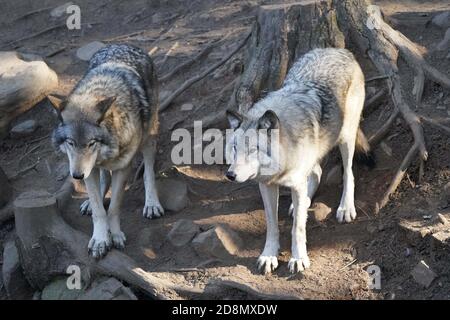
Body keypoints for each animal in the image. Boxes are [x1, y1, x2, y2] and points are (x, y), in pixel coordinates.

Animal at [48, 43, 163, 258]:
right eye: (70, 143)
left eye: (92, 143)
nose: (76, 176)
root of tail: (122, 44)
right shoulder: (89, 168)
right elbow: (99, 209)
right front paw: (101, 239)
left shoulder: (123, 167)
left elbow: (114, 207)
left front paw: (115, 234)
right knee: (103, 179)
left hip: (149, 136)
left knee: (148, 172)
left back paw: (152, 203)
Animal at [225, 48, 372, 274]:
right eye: (234, 148)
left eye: (253, 150)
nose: (230, 175)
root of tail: (338, 50)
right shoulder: (266, 186)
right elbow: (272, 224)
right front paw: (269, 256)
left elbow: (298, 229)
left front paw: (298, 258)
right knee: (317, 173)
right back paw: (301, 205)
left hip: (345, 137)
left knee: (348, 173)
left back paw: (345, 208)